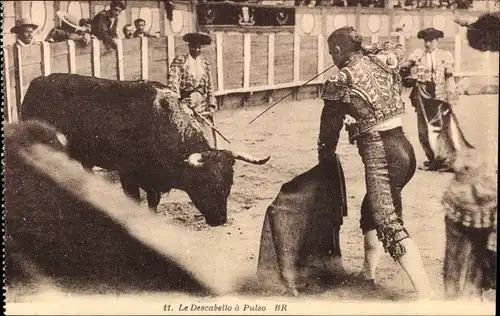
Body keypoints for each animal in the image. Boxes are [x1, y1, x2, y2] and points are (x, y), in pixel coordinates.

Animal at [20, 74, 270, 227]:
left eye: (229, 183)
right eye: (203, 182)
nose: (220, 220)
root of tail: (37, 82)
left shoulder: (153, 182)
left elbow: (152, 204)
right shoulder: (127, 176)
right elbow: (134, 201)